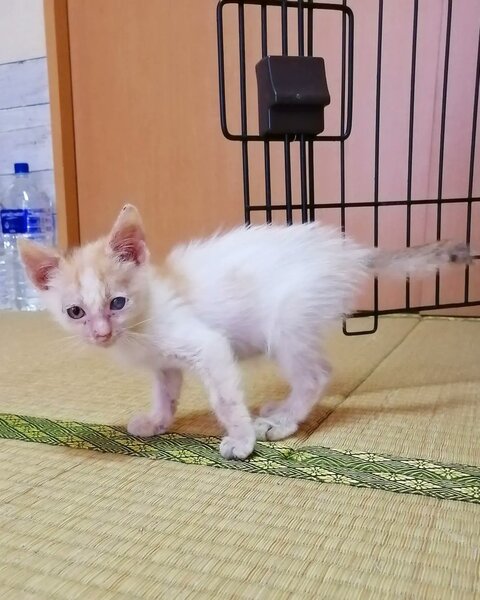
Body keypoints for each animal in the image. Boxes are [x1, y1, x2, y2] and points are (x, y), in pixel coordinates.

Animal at [19, 204, 472, 460]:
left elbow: (225, 398)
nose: (100, 333)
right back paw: (279, 408)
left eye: (117, 303)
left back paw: (283, 421)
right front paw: (158, 421)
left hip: (287, 321)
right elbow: (166, 392)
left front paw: (241, 439)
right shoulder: (164, 364)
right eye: (75, 311)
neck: (142, 321)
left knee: (316, 374)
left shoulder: (208, 346)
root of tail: (350, 252)